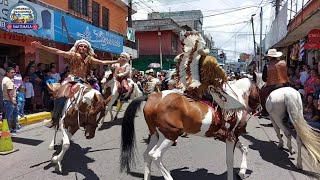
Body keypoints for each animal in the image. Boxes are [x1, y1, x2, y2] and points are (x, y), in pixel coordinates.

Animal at [119, 78, 260, 180]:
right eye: (259, 90)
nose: (258, 108)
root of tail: (151, 97)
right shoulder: (230, 138)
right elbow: (229, 161)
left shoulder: (229, 136)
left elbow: (244, 149)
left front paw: (242, 172)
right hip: (170, 135)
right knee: (155, 155)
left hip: (155, 135)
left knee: (147, 155)